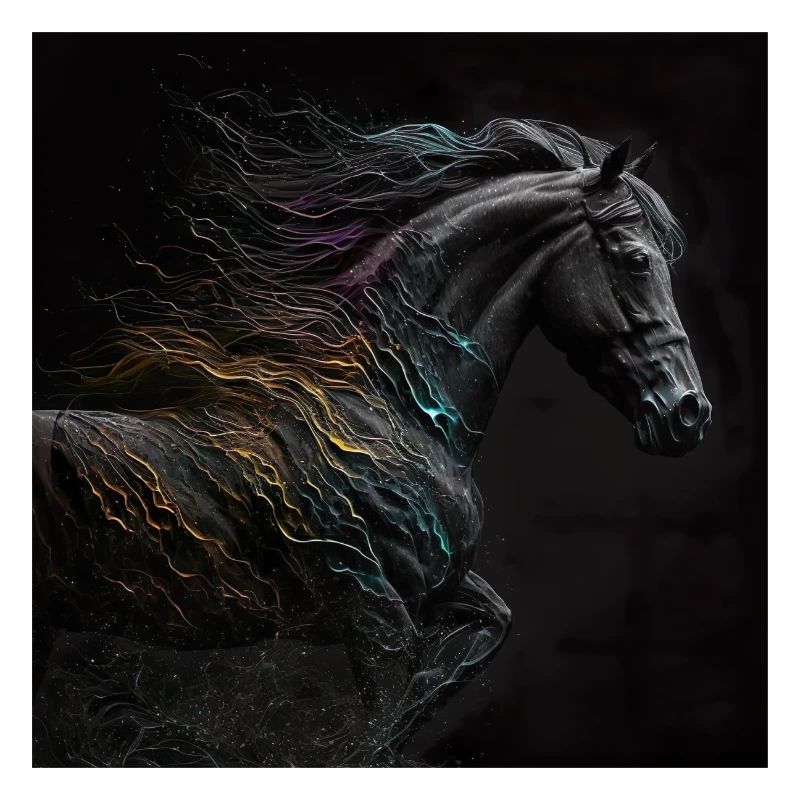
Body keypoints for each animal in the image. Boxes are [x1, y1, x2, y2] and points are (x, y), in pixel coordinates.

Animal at [33, 103, 711, 763]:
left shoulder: (433, 597)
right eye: (638, 259)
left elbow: (467, 652)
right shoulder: (375, 617)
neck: (383, 412)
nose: (689, 413)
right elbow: (385, 721)